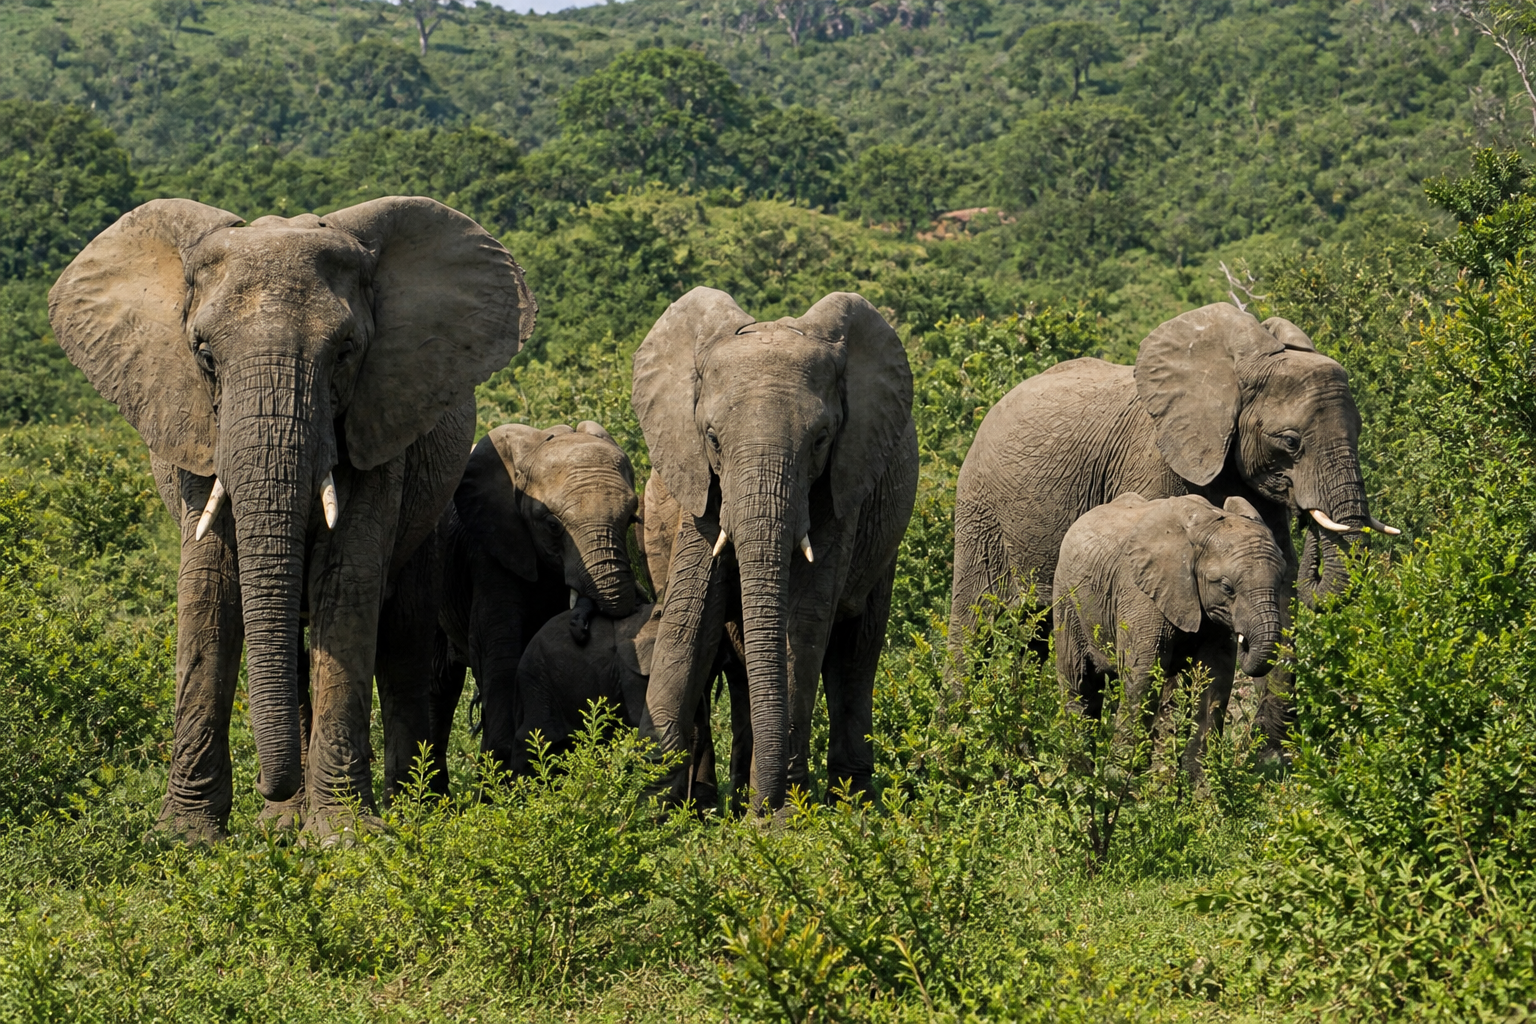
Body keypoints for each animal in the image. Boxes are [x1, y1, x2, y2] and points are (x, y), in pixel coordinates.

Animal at [48, 197, 535, 839]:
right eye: (204, 355)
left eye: (346, 351)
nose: (267, 783)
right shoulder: (195, 432)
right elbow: (208, 591)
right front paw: (183, 839)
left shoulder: (378, 425)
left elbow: (347, 584)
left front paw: (345, 837)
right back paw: (282, 825)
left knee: (403, 644)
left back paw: (406, 810)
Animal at [427, 420, 641, 781]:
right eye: (553, 525)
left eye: (632, 518)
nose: (581, 628)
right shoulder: (489, 551)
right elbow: (500, 651)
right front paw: (502, 782)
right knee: (435, 685)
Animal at [632, 287, 918, 815]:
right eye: (712, 438)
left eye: (821, 440)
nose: (771, 808)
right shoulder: (701, 490)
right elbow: (689, 616)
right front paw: (643, 809)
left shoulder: (842, 485)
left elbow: (804, 621)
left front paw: (779, 818)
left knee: (855, 649)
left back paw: (850, 804)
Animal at [1053, 493, 1288, 772]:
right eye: (1227, 587)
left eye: (1281, 582)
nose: (1244, 640)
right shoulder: (1140, 594)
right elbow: (1143, 673)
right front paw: (1121, 771)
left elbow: (1214, 677)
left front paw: (1199, 777)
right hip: (1067, 598)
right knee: (1079, 679)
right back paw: (1080, 770)